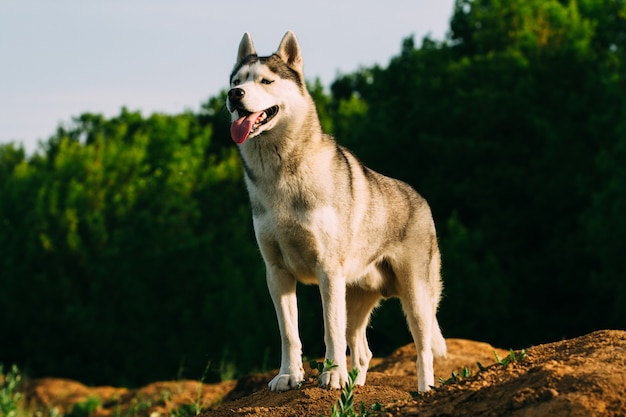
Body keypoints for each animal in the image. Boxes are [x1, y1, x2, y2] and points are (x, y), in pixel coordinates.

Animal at [225, 30, 444, 392]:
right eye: (236, 80)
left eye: (266, 81)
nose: (233, 95)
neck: (280, 174)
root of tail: (422, 200)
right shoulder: (276, 272)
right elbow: (289, 334)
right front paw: (289, 376)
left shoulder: (327, 269)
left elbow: (329, 330)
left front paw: (331, 375)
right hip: (355, 297)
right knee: (364, 350)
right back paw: (356, 386)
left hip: (415, 297)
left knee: (423, 349)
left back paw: (425, 391)